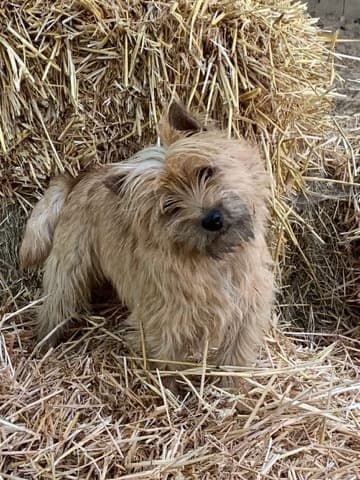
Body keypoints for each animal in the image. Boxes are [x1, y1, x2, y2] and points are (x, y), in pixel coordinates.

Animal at [19, 102, 274, 386]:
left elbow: (234, 356)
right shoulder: (166, 323)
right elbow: (168, 364)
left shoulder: (247, 310)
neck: (216, 262)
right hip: (68, 271)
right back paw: (43, 345)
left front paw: (230, 388)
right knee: (55, 306)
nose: (213, 219)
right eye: (170, 206)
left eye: (204, 171)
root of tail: (82, 177)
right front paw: (170, 391)